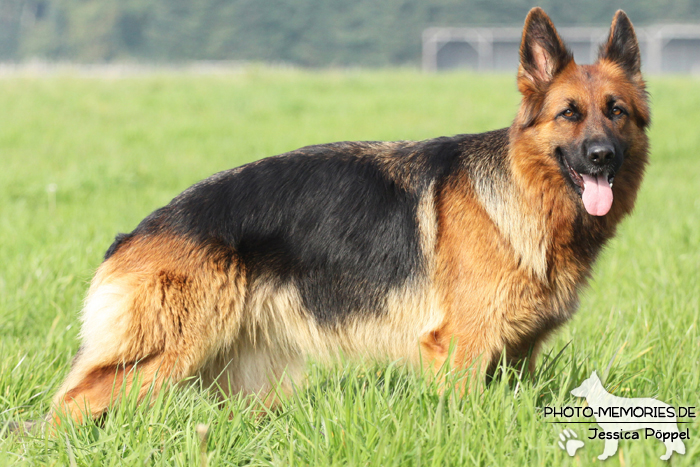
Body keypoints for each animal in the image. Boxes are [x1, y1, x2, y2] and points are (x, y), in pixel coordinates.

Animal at [38, 9, 648, 430]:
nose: (602, 157)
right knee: (66, 407)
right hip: (165, 354)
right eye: (568, 113)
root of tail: (134, 233)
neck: (524, 195)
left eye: (615, 111)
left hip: (240, 376)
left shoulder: (517, 355)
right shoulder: (460, 350)